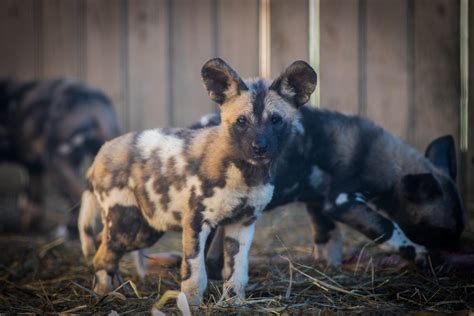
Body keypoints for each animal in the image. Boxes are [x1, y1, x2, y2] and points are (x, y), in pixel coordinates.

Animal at [0, 79, 119, 235]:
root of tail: (93, 102)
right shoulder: (33, 167)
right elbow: (32, 200)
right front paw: (27, 226)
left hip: (56, 164)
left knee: (78, 198)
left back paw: (69, 231)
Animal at [78, 57, 318, 304]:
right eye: (241, 121)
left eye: (276, 120)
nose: (259, 147)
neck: (246, 174)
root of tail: (103, 151)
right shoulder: (195, 222)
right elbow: (195, 274)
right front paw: (192, 304)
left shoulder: (243, 224)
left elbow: (237, 274)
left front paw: (234, 303)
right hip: (128, 227)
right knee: (101, 257)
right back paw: (104, 294)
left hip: (145, 229)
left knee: (102, 244)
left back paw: (115, 287)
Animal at [192, 107, 462, 276]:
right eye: (441, 232)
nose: (450, 255)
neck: (373, 156)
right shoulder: (343, 202)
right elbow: (388, 229)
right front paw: (421, 254)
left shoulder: (319, 202)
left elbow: (328, 239)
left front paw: (330, 267)